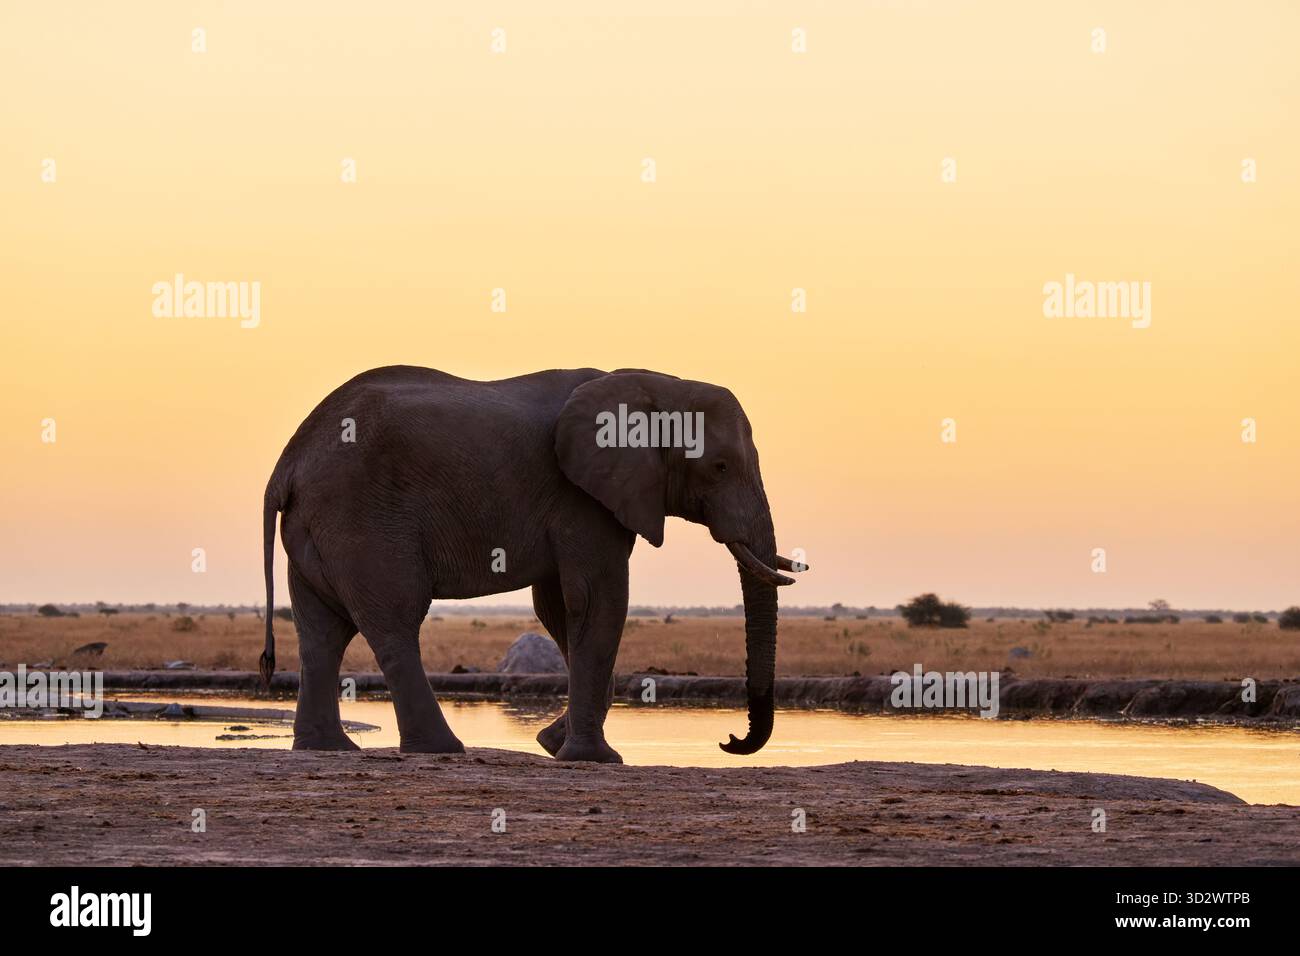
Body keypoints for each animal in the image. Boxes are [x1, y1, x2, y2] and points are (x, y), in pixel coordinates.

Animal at [259, 366, 805, 762]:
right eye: (719, 467)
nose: (729, 740)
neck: (656, 383)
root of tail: (287, 462)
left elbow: (561, 610)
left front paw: (552, 743)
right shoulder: (582, 498)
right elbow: (599, 600)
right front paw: (592, 759)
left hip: (315, 527)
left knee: (322, 631)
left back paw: (327, 749)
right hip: (363, 518)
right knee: (394, 620)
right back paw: (440, 749)